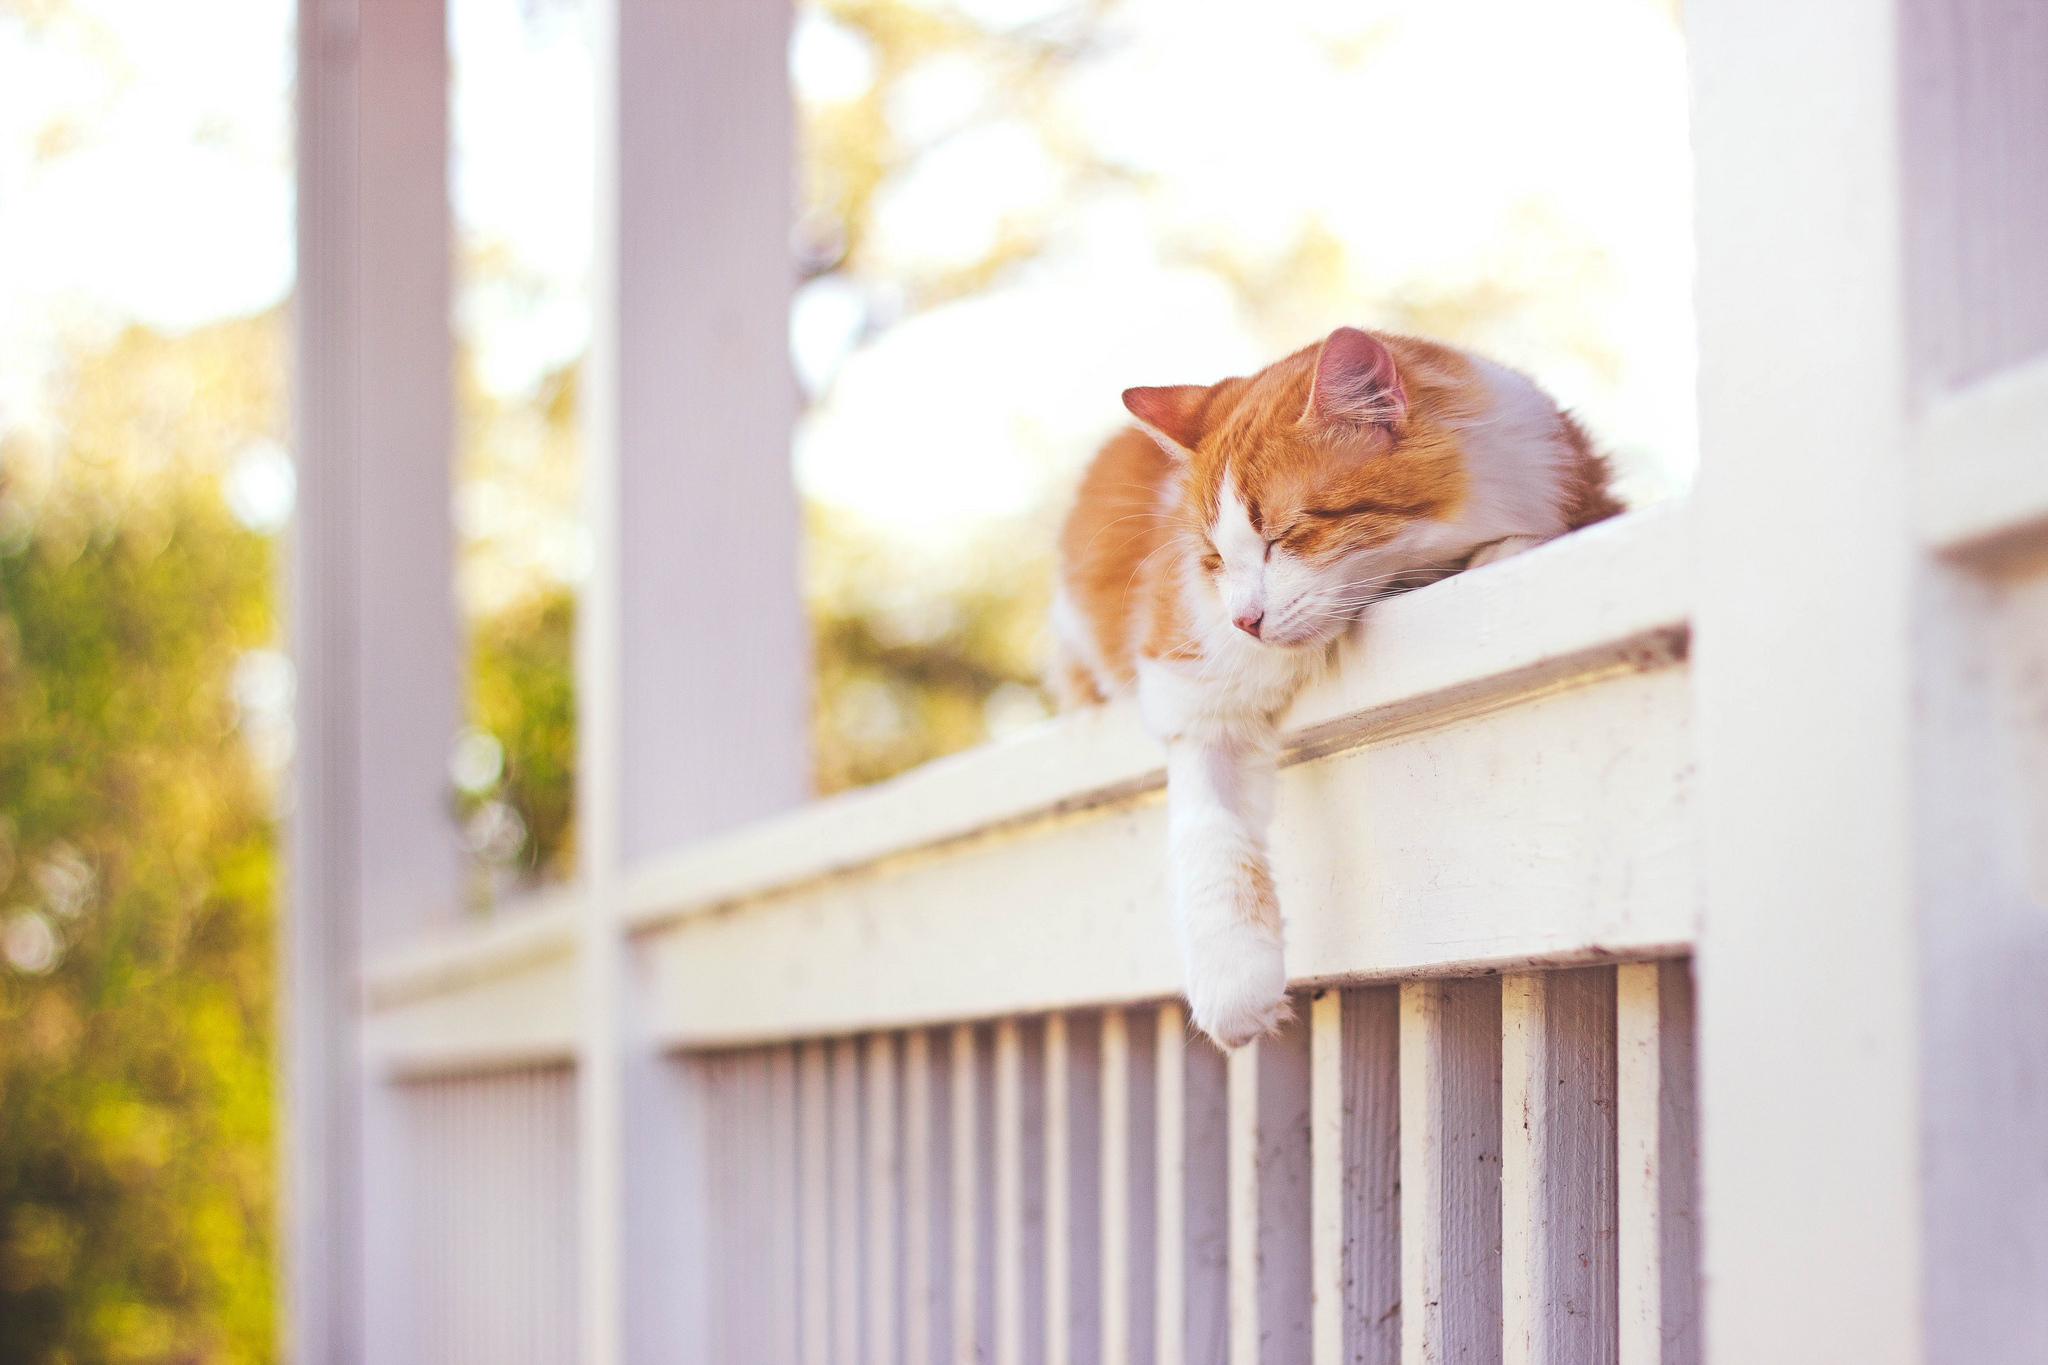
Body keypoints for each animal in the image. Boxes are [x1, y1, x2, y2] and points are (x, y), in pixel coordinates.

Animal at [1056, 327, 1613, 1047]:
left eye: (1287, 536)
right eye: (1215, 560)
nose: (1244, 620)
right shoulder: (1196, 695)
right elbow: (1211, 835)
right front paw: (1234, 984)